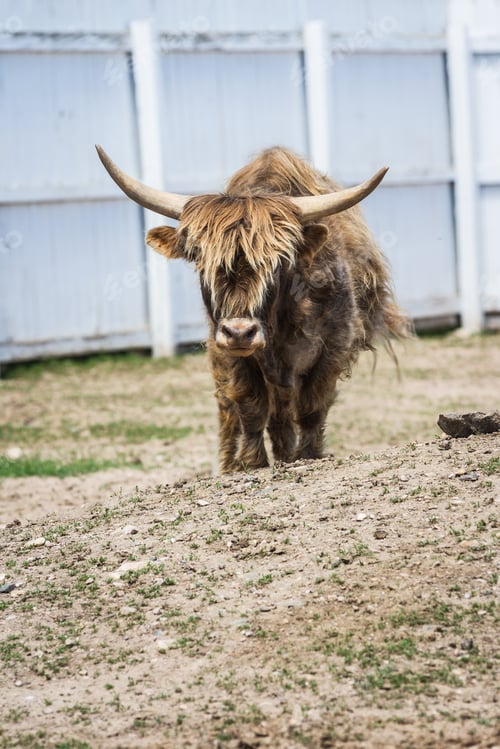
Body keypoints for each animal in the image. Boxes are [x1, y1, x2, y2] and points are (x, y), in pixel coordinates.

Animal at [96, 145, 409, 473]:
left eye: (279, 261)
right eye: (199, 258)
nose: (239, 332)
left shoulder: (334, 347)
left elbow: (312, 406)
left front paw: (308, 455)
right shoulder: (229, 353)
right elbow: (250, 406)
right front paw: (251, 462)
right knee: (233, 412)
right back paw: (229, 463)